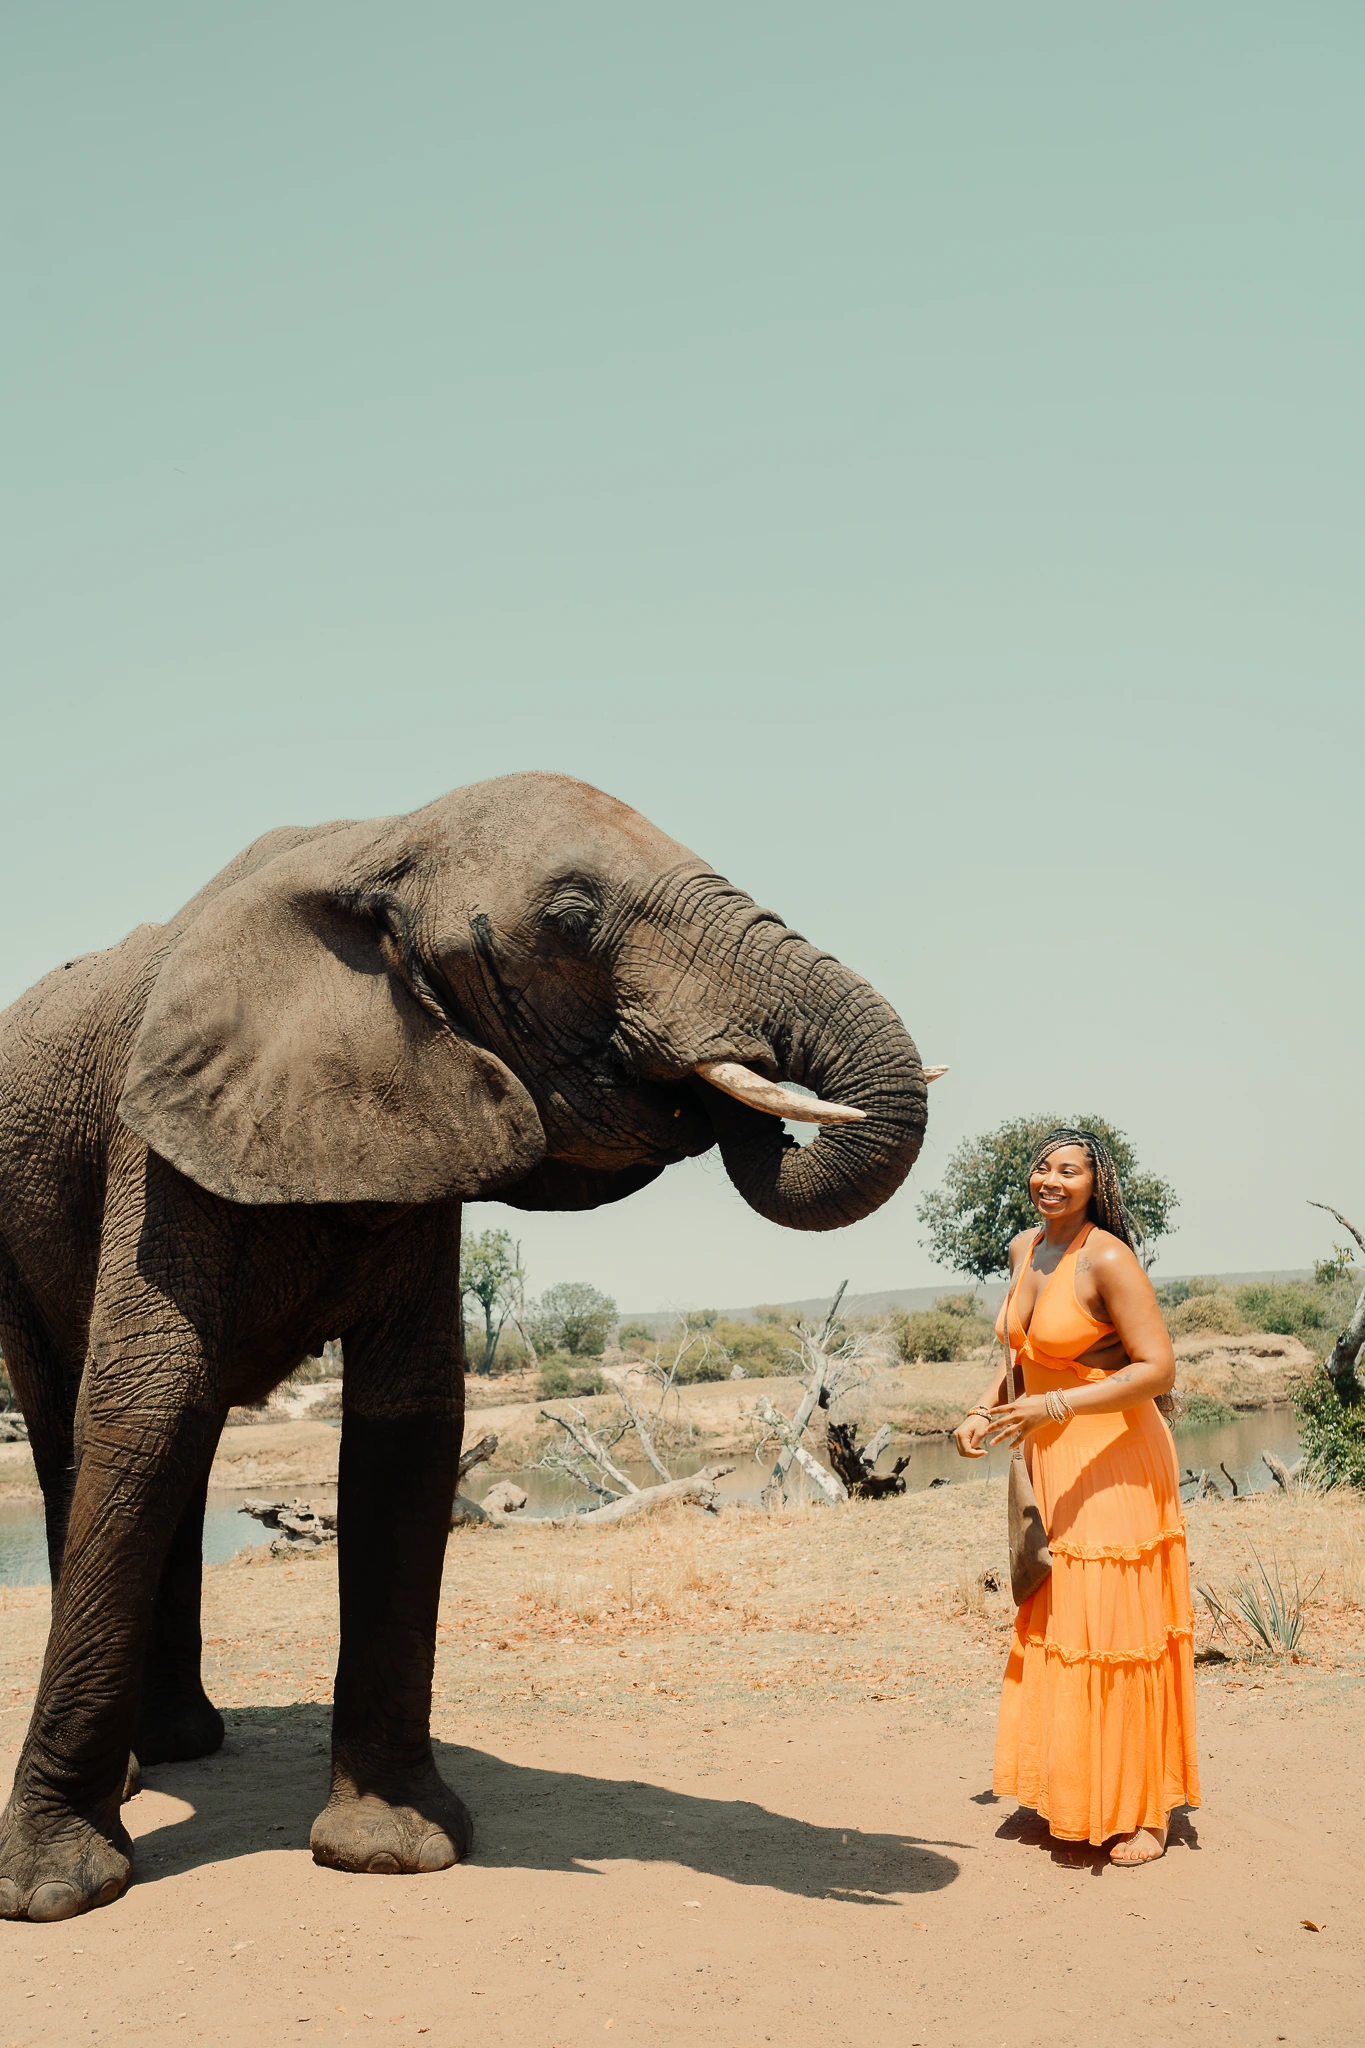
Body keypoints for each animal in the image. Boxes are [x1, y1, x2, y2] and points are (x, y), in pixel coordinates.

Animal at [0, 771, 930, 1921]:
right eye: (572, 915)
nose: (751, 1089)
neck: (381, 841)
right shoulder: (159, 1139)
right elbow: (145, 1401)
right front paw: (52, 1892)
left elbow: (412, 1417)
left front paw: (392, 1850)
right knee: (79, 1435)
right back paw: (143, 1769)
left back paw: (185, 1746)